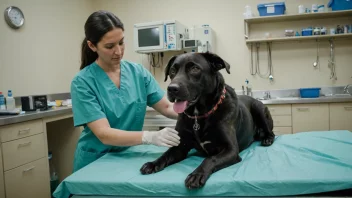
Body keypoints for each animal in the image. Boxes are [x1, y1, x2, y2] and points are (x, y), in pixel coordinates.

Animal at [140, 52, 276, 189]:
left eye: (195, 69)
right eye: (173, 71)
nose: (172, 88)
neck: (198, 115)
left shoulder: (231, 150)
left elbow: (211, 159)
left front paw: (197, 174)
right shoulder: (180, 147)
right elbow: (166, 154)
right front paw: (153, 163)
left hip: (259, 108)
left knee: (272, 132)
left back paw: (267, 139)